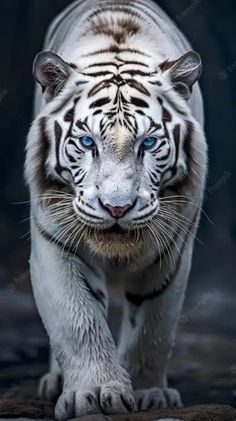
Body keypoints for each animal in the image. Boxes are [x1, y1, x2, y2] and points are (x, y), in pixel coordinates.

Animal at [24, 1, 207, 418]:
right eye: (87, 142)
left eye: (149, 143)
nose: (117, 207)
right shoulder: (54, 242)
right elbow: (77, 322)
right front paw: (91, 393)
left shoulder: (173, 252)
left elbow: (154, 327)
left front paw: (147, 393)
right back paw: (54, 381)